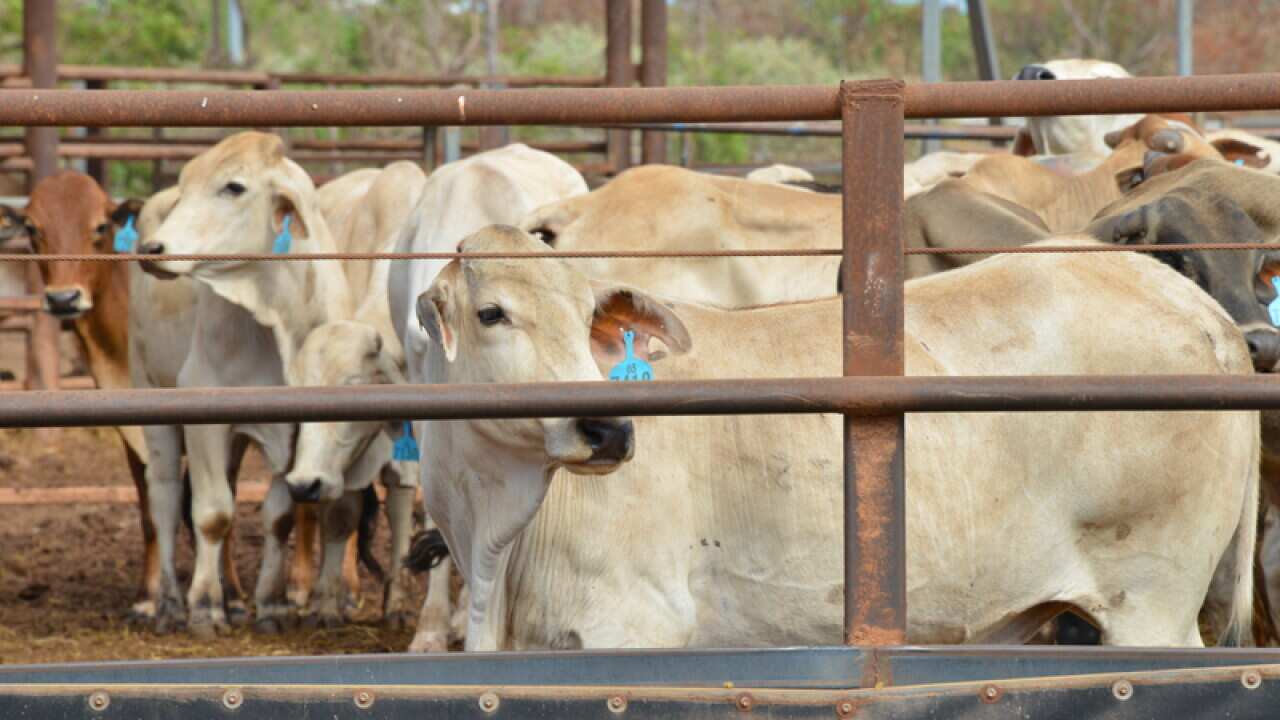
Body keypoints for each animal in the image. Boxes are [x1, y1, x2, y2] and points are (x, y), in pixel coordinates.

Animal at [413, 226, 1258, 650]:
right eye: (491, 313)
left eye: (589, 316)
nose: (609, 426)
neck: (494, 546)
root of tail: (1200, 309)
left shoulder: (630, 628)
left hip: (1151, 604)